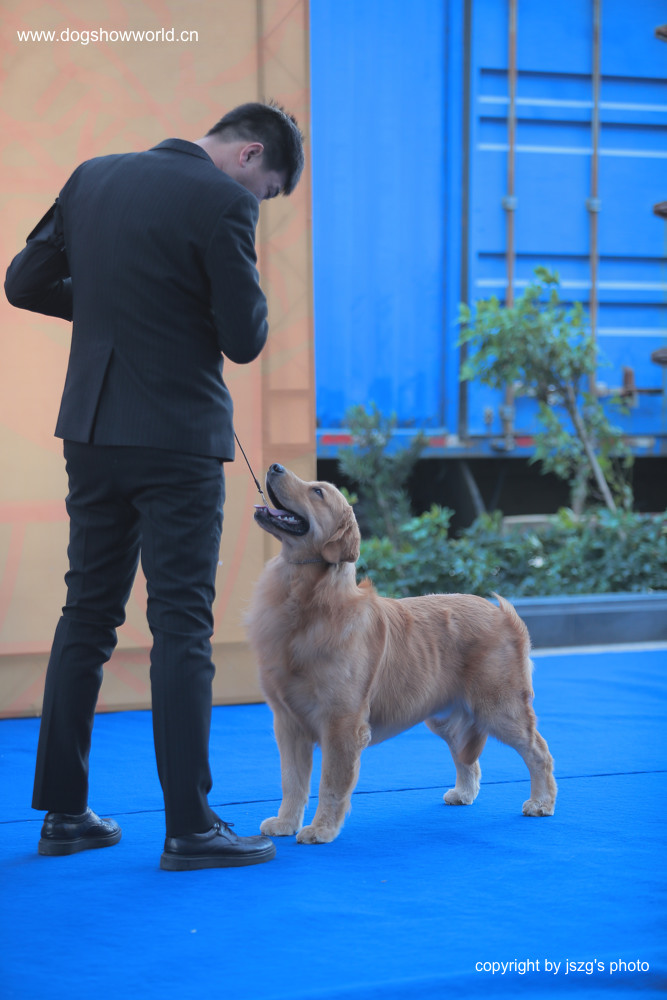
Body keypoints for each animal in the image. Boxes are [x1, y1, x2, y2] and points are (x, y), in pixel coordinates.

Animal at [246, 463, 557, 844]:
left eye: (317, 491)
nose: (275, 467)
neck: (306, 599)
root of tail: (503, 613)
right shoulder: (288, 723)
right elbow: (292, 781)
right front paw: (285, 823)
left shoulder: (340, 723)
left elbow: (331, 783)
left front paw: (321, 829)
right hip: (444, 716)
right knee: (466, 756)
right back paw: (464, 793)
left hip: (499, 707)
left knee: (538, 751)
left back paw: (541, 801)